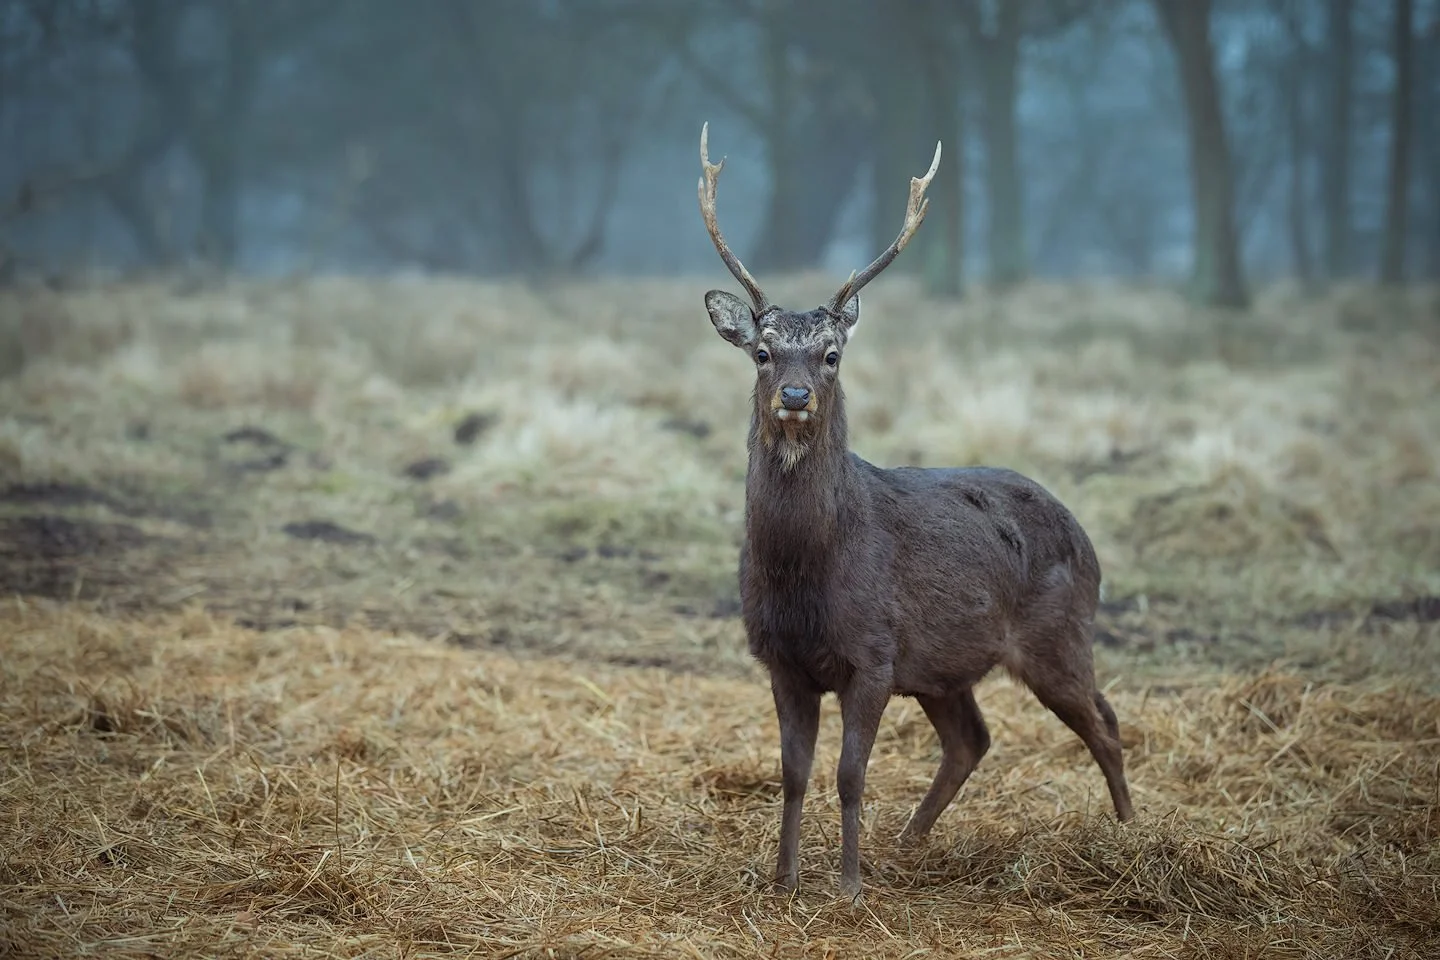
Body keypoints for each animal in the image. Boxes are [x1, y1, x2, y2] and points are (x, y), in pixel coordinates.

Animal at [694, 123, 1135, 899]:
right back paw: (907, 842)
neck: (805, 570)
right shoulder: (780, 658)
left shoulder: (873, 653)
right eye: (763, 352)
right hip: (941, 663)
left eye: (832, 354)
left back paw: (1131, 834)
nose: (796, 397)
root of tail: (1085, 537)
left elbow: (849, 774)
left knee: (1105, 723)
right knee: (973, 737)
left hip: (1060, 633)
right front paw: (784, 879)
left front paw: (846, 886)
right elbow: (793, 774)